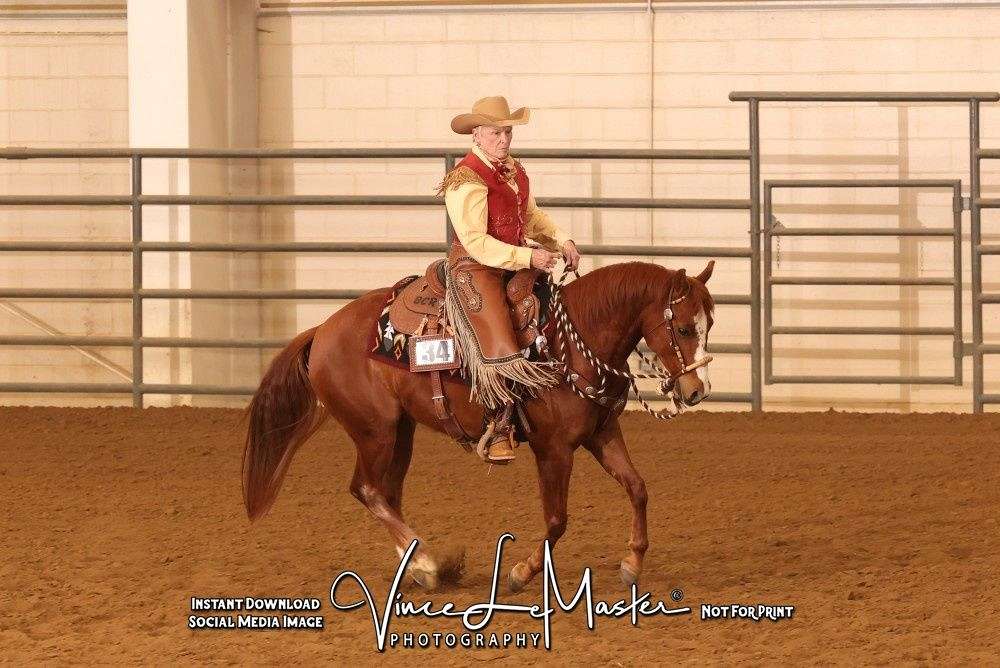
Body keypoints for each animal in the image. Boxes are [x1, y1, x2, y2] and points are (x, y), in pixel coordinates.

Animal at [241, 259, 715, 592]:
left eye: (710, 323)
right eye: (684, 327)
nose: (696, 390)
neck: (572, 344)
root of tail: (322, 330)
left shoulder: (601, 435)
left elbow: (638, 488)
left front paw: (632, 562)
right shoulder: (553, 449)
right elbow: (557, 519)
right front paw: (521, 572)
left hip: (401, 432)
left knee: (387, 492)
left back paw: (418, 565)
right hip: (374, 431)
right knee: (368, 490)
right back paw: (428, 564)